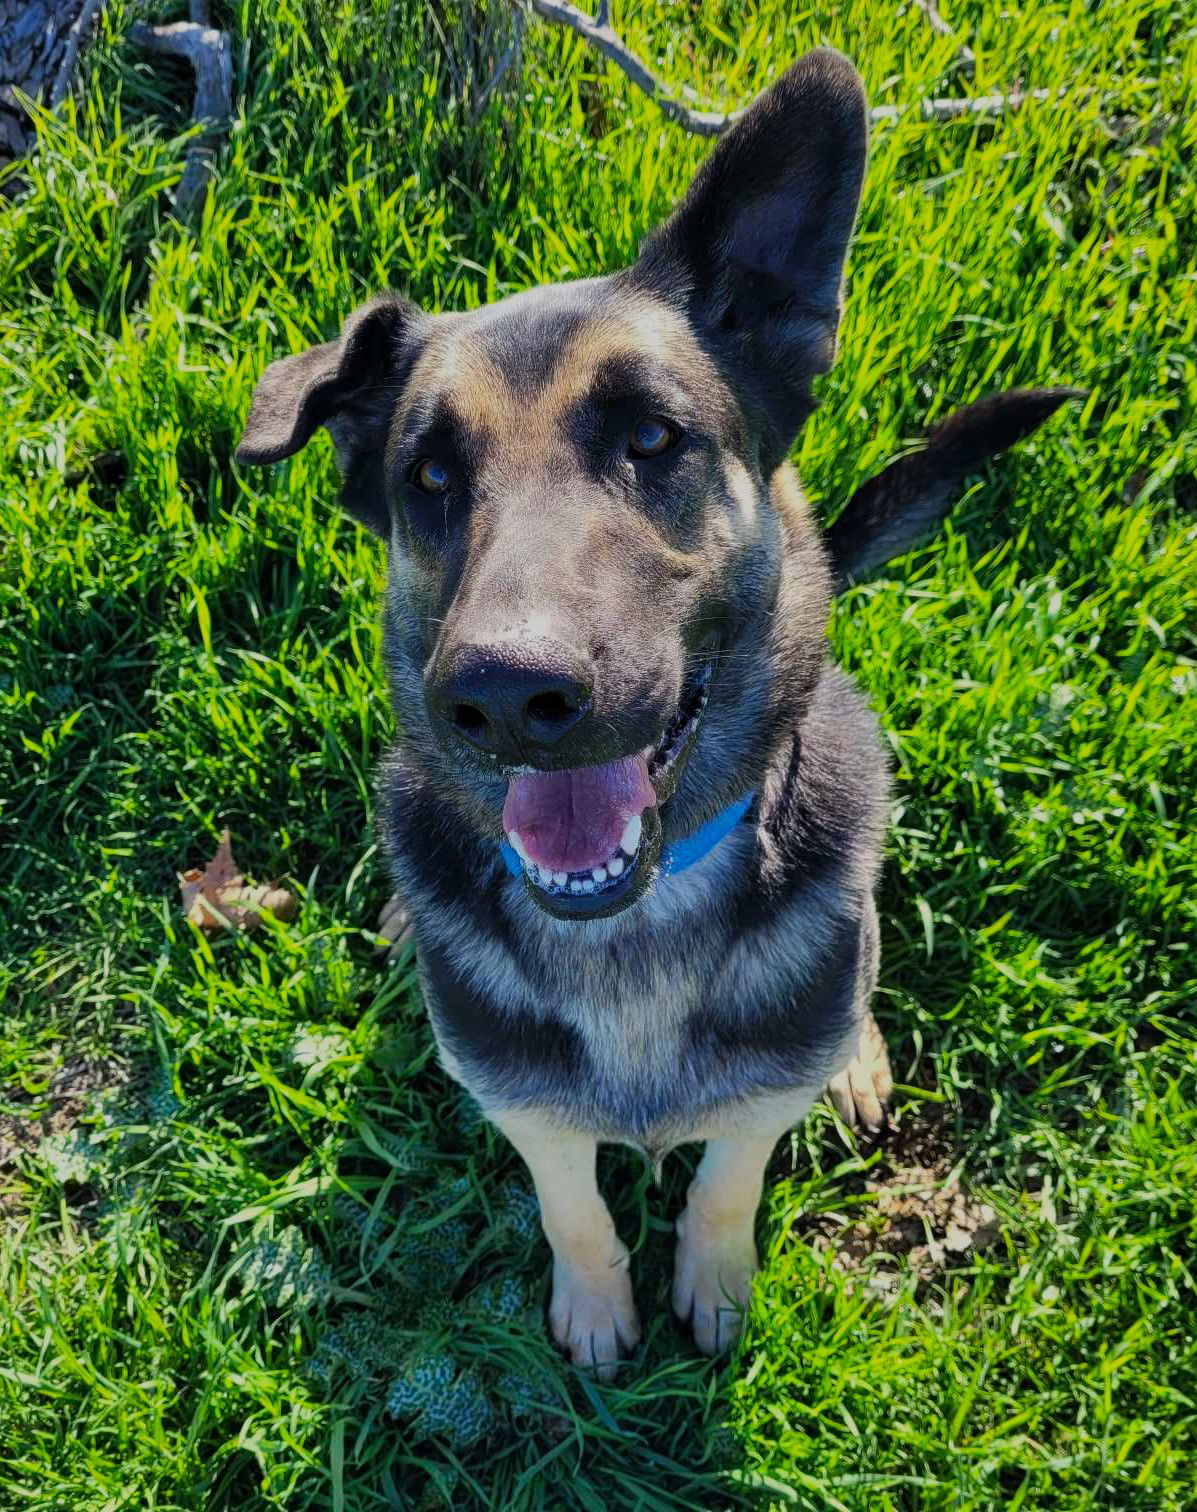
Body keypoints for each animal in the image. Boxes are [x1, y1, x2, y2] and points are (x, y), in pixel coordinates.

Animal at [238, 50, 1082, 1372]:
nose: (506, 697)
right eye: (430, 476)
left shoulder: (761, 1095)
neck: (631, 925)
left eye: (651, 436)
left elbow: (730, 1173)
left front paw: (716, 1282)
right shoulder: (523, 1102)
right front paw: (596, 1307)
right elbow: (569, 1198)